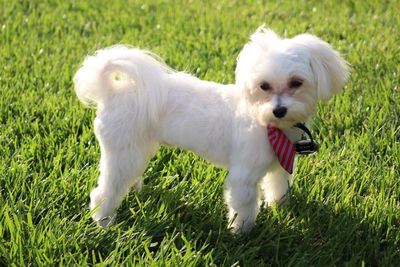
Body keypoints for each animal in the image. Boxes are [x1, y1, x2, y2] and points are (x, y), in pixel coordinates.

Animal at [74, 26, 346, 233]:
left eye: (296, 83)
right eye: (263, 86)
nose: (279, 110)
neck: (266, 122)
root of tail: (111, 90)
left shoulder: (279, 164)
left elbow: (278, 186)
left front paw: (280, 208)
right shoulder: (244, 175)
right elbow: (244, 204)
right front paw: (241, 233)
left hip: (139, 147)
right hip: (123, 151)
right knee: (105, 191)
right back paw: (104, 222)